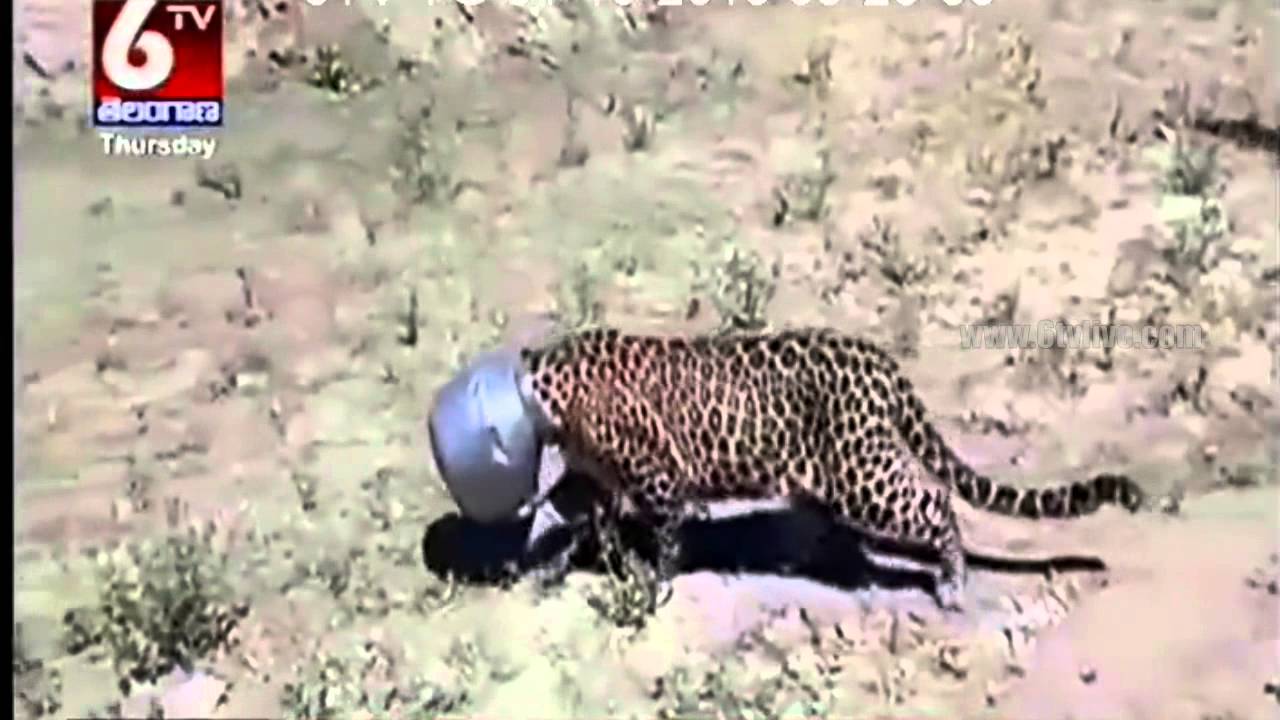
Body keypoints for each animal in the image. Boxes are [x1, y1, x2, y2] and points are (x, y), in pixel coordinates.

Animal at [513, 326, 1145, 611]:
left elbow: (665, 537)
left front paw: (655, 584)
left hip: (862, 476)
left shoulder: (659, 478)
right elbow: (578, 522)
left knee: (936, 501)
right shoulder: (592, 480)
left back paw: (951, 582)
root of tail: (879, 360)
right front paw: (550, 568)